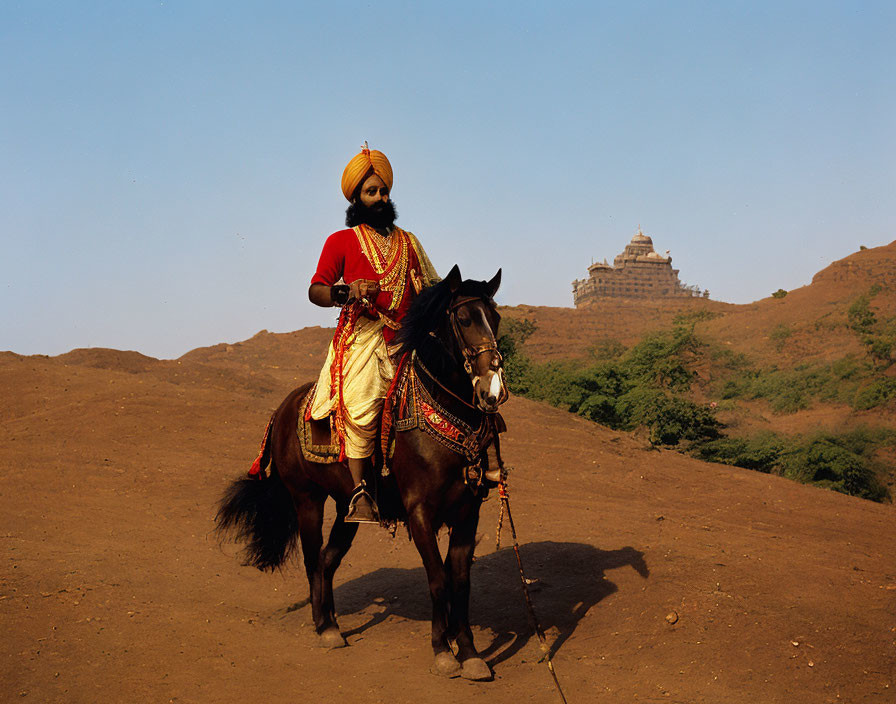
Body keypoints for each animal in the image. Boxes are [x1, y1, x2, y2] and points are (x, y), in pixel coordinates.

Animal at [215, 262, 504, 676]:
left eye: (495, 319)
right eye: (464, 319)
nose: (492, 389)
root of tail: (283, 409)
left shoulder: (467, 511)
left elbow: (461, 583)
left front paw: (469, 652)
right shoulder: (420, 513)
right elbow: (437, 579)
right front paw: (442, 650)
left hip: (346, 508)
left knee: (327, 560)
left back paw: (334, 623)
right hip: (306, 499)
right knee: (312, 558)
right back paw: (324, 627)